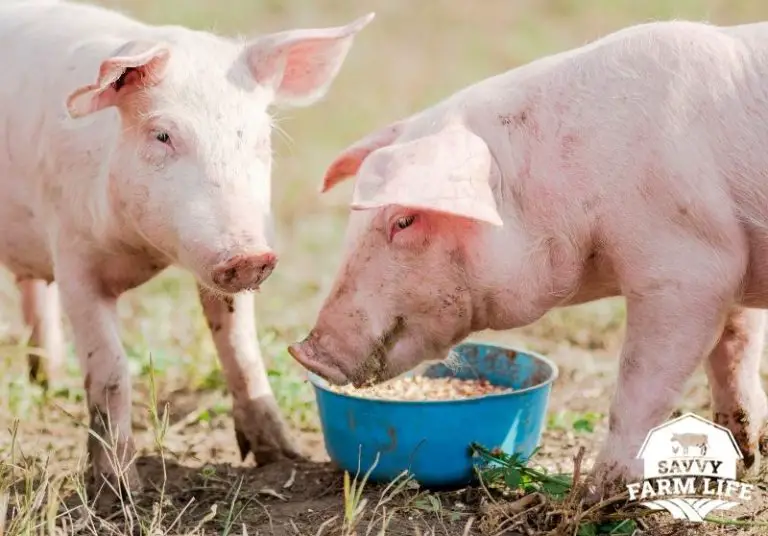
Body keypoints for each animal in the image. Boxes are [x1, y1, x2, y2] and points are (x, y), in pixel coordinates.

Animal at [0, 0, 373, 499]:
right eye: (162, 136)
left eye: (261, 138)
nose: (250, 256)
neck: (143, 252)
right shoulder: (74, 256)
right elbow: (111, 370)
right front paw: (121, 489)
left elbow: (240, 349)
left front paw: (282, 456)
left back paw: (48, 381)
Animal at [288, 20, 768, 502]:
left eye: (404, 220)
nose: (305, 351)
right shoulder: (731, 265)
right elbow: (734, 348)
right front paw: (743, 459)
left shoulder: (689, 266)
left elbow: (641, 379)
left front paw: (598, 494)